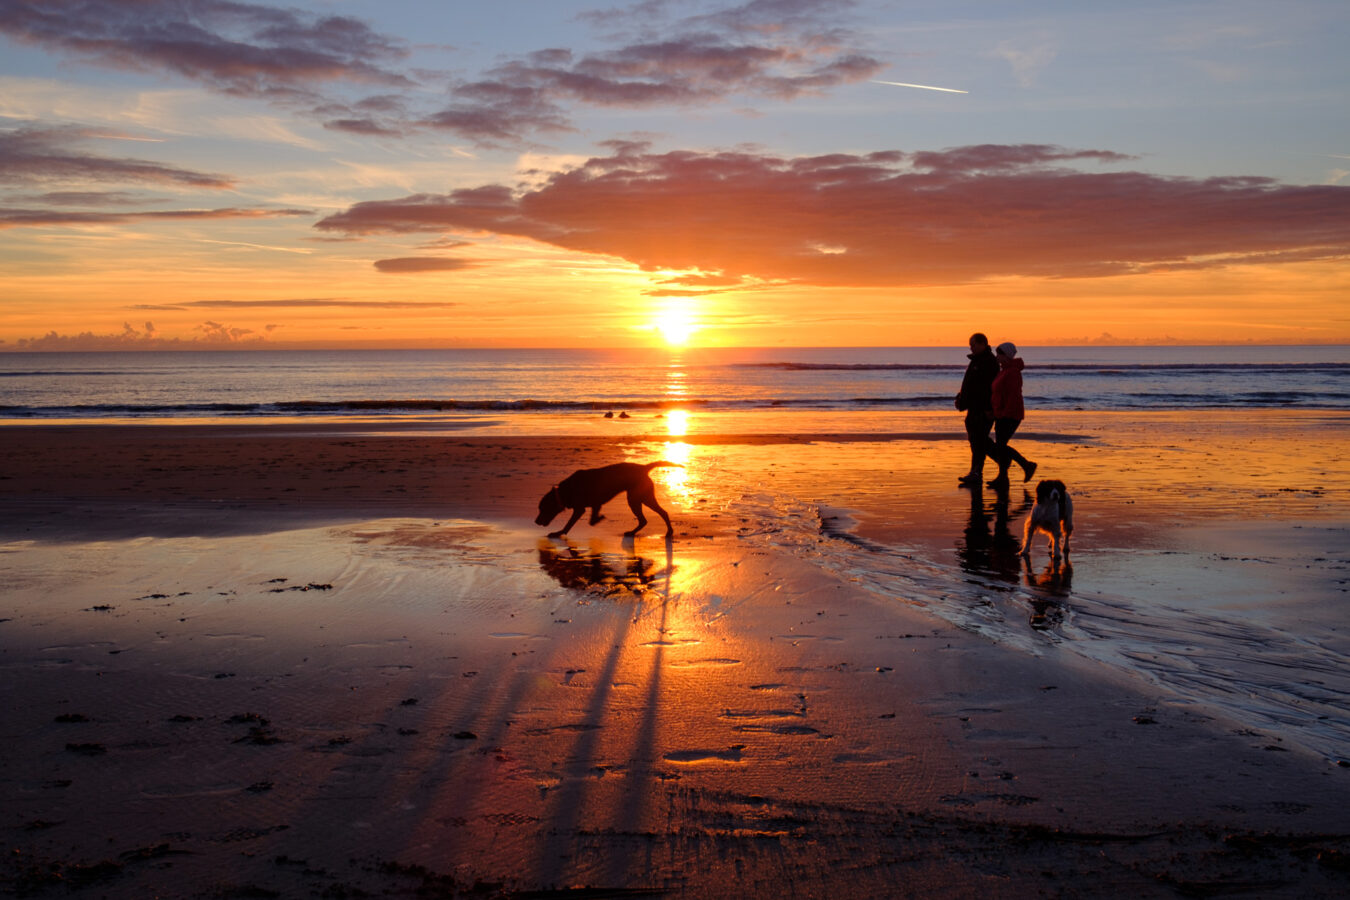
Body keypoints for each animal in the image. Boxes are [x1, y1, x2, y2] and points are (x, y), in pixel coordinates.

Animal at [534, 461, 680, 539]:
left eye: (542, 509)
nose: (536, 521)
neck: (564, 491)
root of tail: (643, 467)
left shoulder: (579, 509)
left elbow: (569, 525)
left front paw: (558, 533)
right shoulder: (595, 504)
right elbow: (591, 520)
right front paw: (599, 518)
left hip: (639, 498)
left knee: (658, 514)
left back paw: (668, 532)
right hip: (639, 498)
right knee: (648, 518)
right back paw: (634, 532)